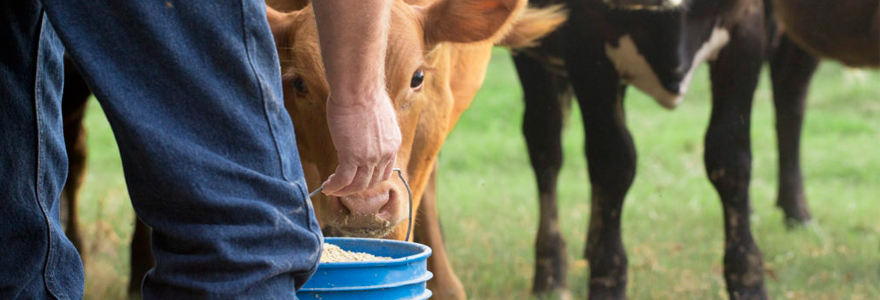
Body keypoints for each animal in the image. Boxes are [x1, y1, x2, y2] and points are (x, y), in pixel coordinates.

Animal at [508, 0, 820, 298]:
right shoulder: (585, 40)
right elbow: (612, 162)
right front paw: (606, 280)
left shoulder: (745, 28)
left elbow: (730, 157)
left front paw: (748, 282)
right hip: (532, 52)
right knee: (545, 145)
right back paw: (550, 274)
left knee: (791, 95)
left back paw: (798, 213)